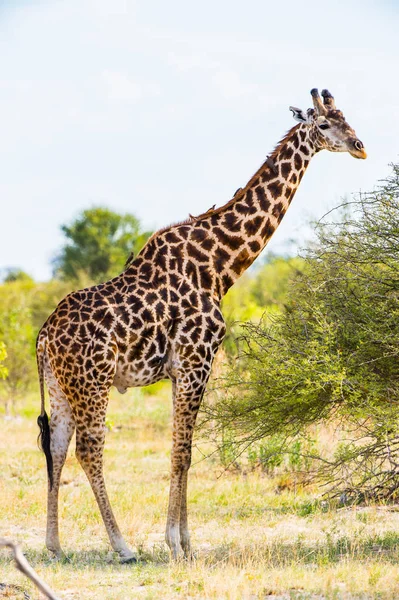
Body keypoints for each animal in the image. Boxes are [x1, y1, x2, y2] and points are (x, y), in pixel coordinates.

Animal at [36, 89, 366, 564]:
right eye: (323, 124)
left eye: (346, 117)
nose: (359, 145)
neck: (219, 267)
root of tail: (43, 336)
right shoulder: (196, 363)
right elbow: (182, 452)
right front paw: (174, 542)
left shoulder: (184, 370)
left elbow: (183, 451)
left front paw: (187, 541)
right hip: (92, 381)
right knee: (89, 449)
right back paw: (122, 546)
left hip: (61, 386)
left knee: (57, 447)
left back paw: (54, 546)